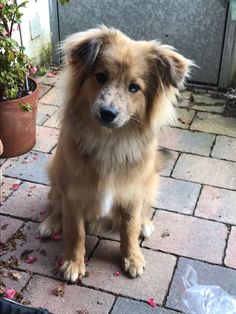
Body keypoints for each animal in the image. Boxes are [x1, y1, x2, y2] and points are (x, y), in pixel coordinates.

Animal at [39, 27, 193, 282]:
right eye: (101, 77)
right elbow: (75, 232)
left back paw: (144, 223)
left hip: (150, 181)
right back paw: (51, 222)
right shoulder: (73, 195)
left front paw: (132, 258)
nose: (108, 113)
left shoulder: (132, 193)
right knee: (56, 203)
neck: (109, 141)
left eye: (134, 87)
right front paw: (73, 262)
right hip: (54, 168)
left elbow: (129, 230)